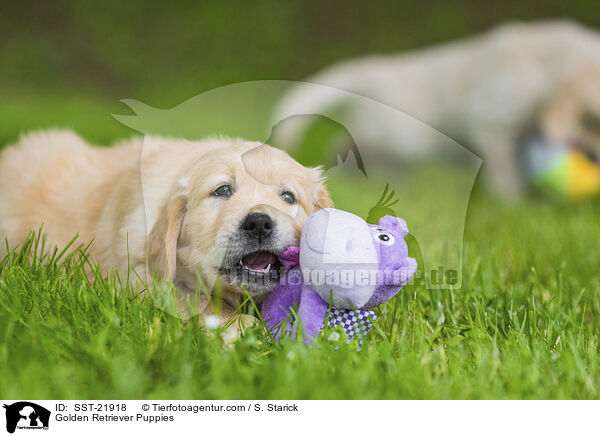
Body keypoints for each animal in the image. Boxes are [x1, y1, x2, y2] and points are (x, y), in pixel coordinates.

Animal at [0, 131, 332, 328]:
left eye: (288, 197)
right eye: (222, 190)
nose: (259, 223)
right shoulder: (141, 279)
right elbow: (201, 303)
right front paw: (241, 329)